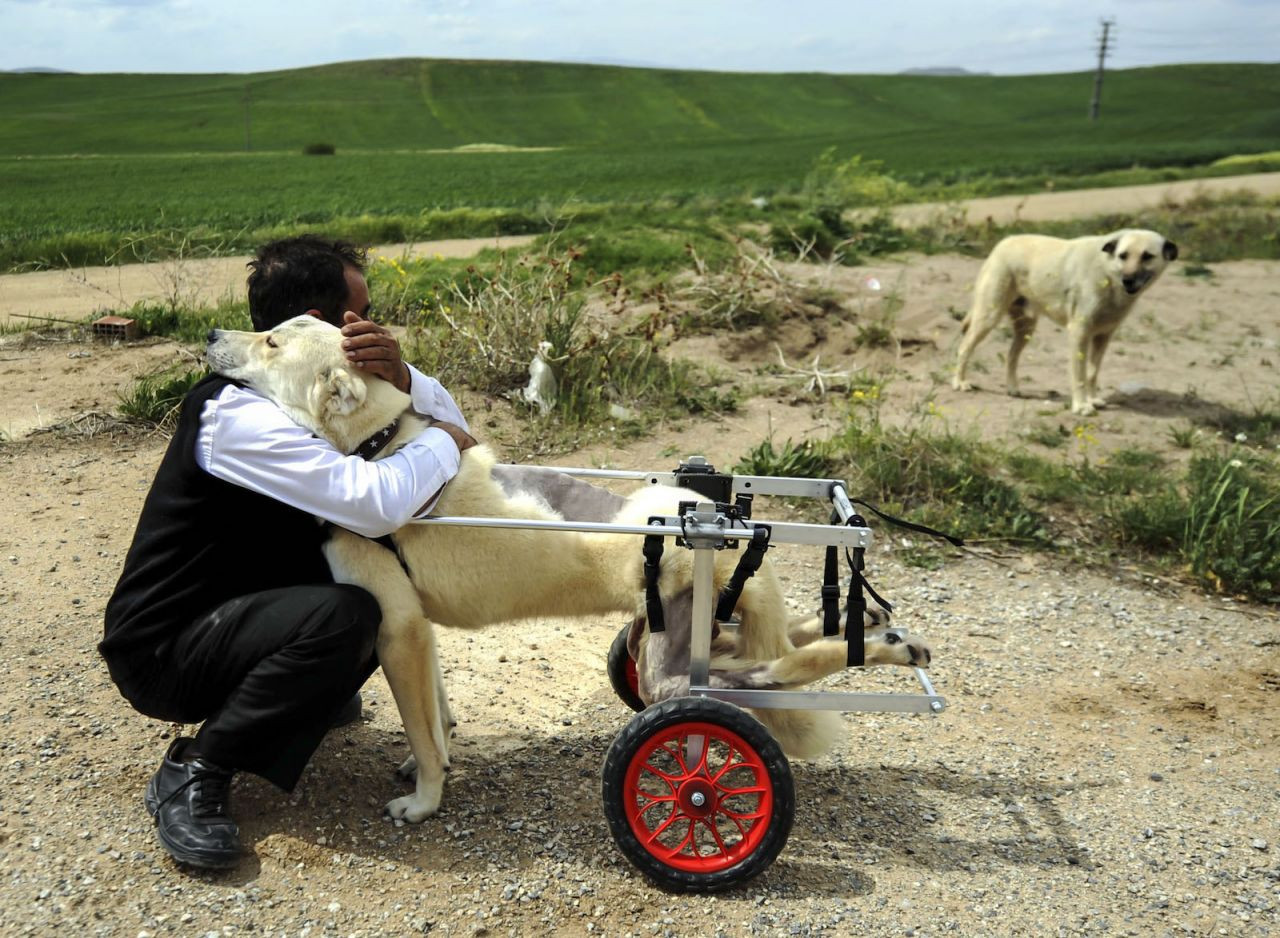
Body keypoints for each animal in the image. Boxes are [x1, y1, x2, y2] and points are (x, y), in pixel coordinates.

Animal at [207, 318, 931, 824]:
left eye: (271, 340)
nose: (212, 335)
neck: (380, 444)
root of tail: (717, 518)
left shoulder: (398, 630)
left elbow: (422, 726)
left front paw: (426, 799)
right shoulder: (419, 631)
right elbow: (436, 715)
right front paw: (430, 757)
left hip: (671, 675)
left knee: (770, 677)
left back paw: (888, 648)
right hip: (687, 633)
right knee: (783, 647)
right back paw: (876, 624)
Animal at [952, 227, 1177, 414]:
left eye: (1147, 256)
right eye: (1123, 256)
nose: (1128, 280)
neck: (1107, 272)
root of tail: (1003, 242)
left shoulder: (1103, 336)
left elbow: (1092, 373)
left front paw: (1092, 399)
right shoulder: (1079, 333)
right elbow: (1079, 375)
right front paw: (1081, 406)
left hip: (1026, 329)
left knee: (1011, 357)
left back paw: (1012, 388)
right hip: (988, 318)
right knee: (964, 348)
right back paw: (959, 382)